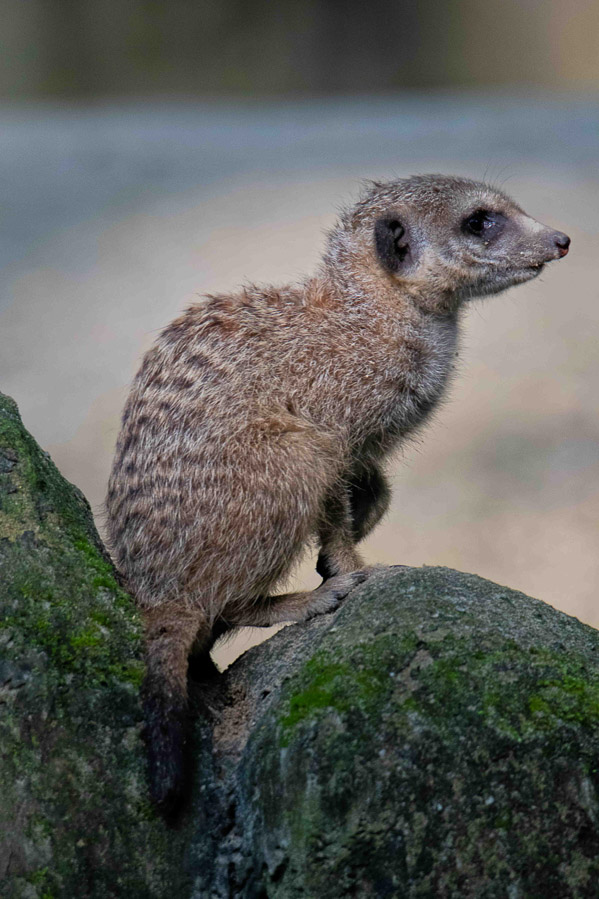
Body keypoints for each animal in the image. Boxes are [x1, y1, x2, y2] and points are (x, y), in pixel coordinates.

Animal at [105, 175, 570, 813]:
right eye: (480, 221)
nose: (562, 239)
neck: (370, 316)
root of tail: (157, 593)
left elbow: (373, 486)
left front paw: (362, 515)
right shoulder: (332, 411)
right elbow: (334, 484)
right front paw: (345, 564)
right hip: (275, 467)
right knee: (229, 588)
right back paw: (297, 600)